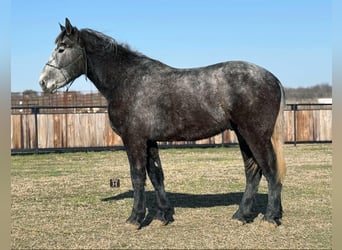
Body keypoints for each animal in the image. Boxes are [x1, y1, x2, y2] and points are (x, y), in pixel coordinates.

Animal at [39, 17, 286, 229]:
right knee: (253, 172)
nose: (43, 82)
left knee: (271, 170)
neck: (127, 81)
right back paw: (241, 215)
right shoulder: (149, 141)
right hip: (243, 135)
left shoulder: (134, 140)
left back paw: (270, 218)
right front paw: (162, 216)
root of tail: (272, 78)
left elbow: (138, 176)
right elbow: (156, 175)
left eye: (62, 48)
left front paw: (135, 218)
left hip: (255, 135)